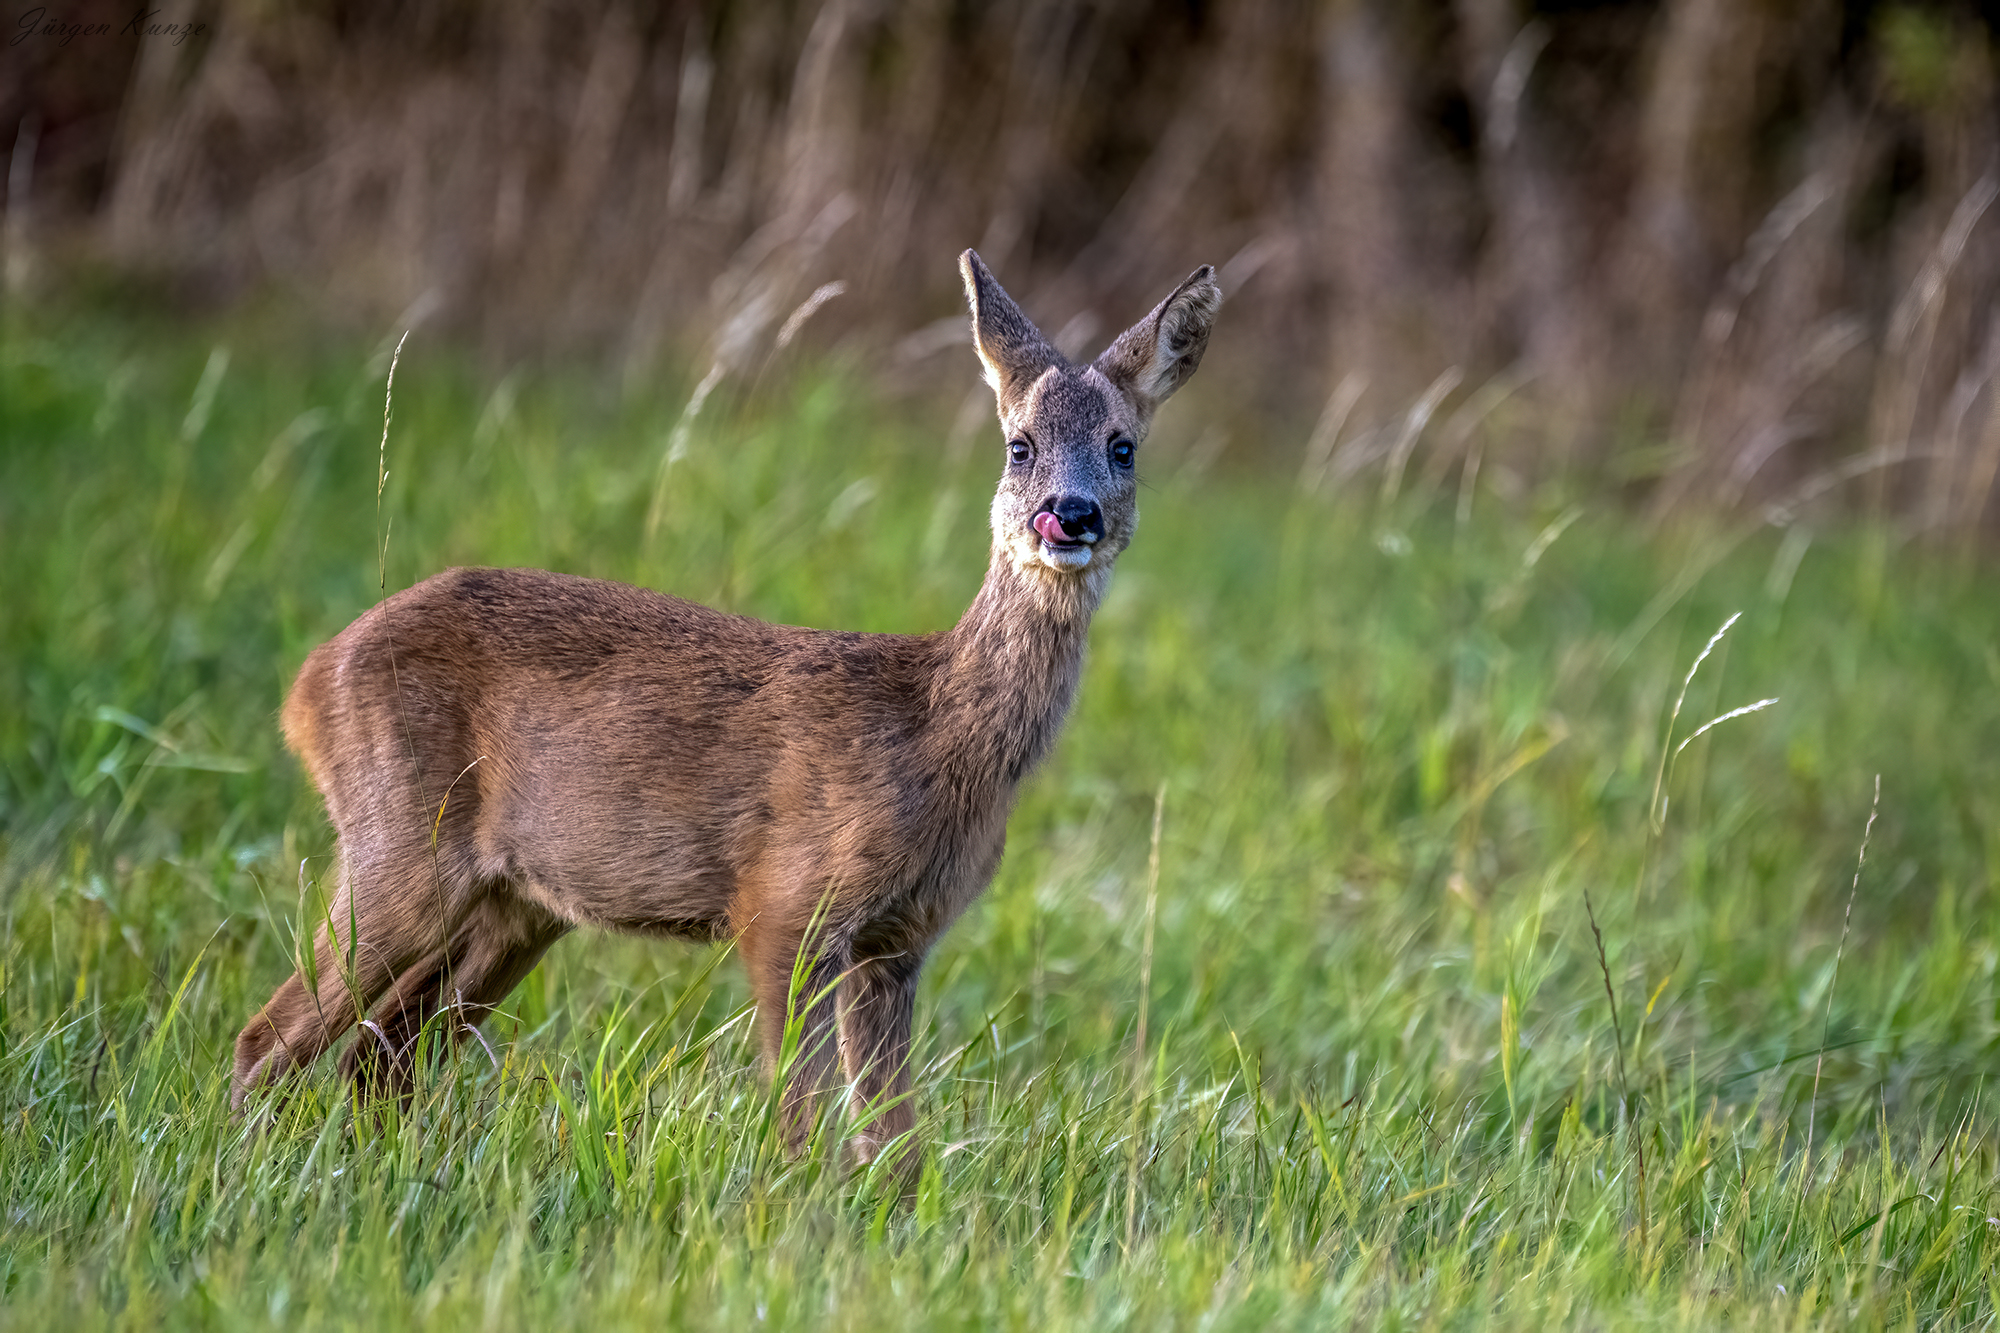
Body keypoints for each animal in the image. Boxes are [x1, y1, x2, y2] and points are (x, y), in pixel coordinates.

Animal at [234, 249, 1216, 1160]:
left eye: (1123, 446)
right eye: (1019, 444)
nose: (1071, 514)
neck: (938, 737)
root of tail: (308, 682)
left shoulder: (899, 940)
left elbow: (894, 1145)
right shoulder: (783, 899)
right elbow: (800, 1120)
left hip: (514, 905)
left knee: (380, 1052)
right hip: (401, 841)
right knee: (271, 1036)